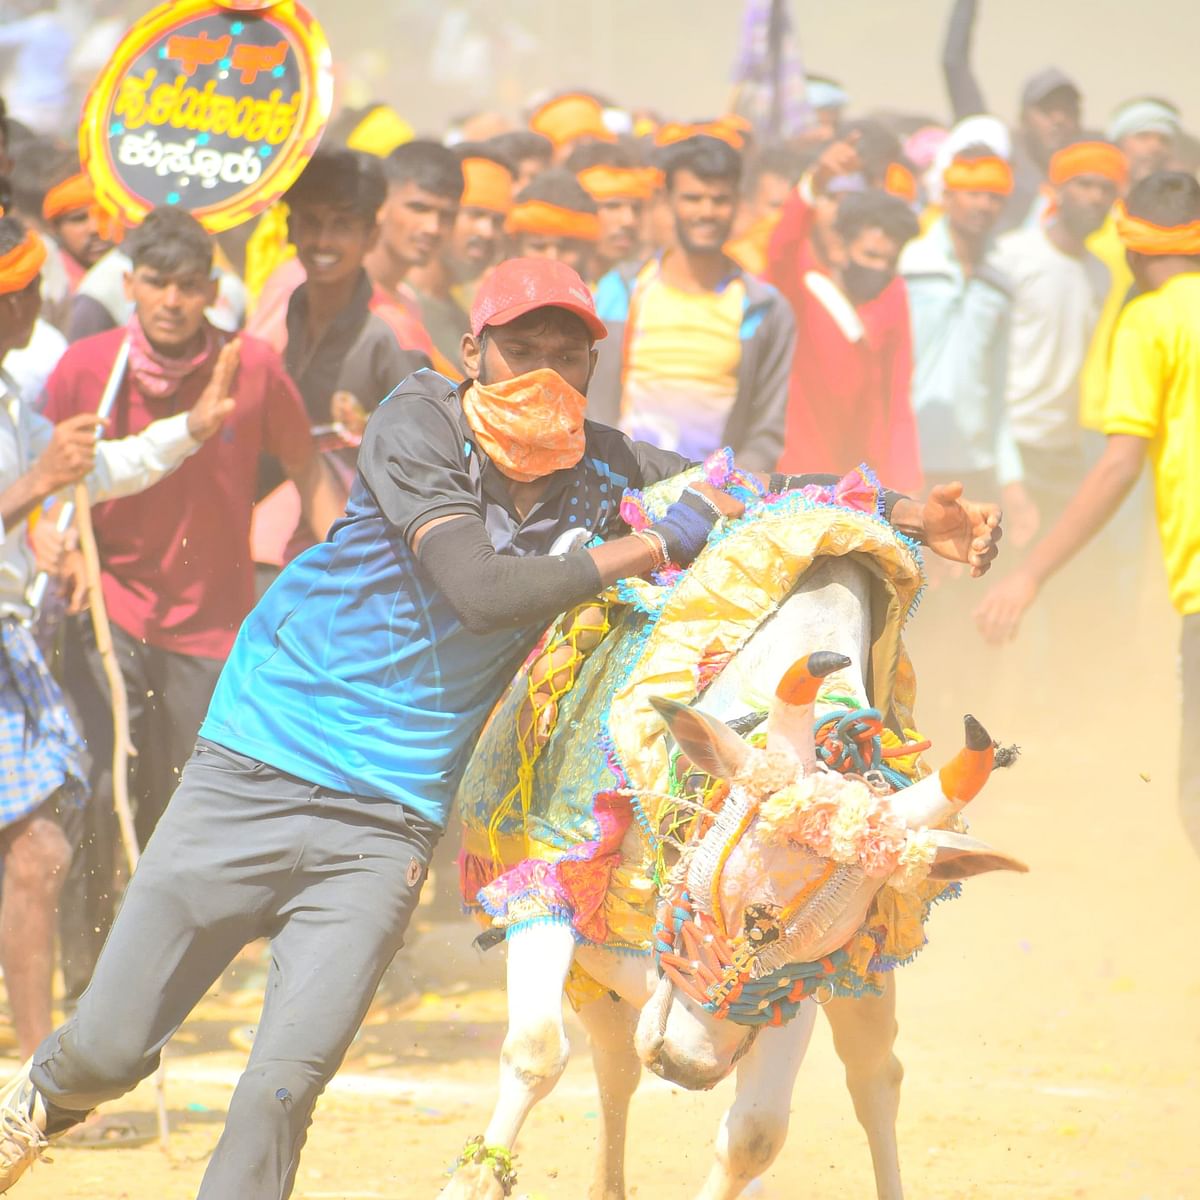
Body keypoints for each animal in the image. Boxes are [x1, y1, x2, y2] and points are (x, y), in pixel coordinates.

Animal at [439, 559, 1022, 1200]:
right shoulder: (545, 889)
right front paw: (473, 1178)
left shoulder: (798, 988)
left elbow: (754, 1135)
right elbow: (539, 1051)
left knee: (875, 1078)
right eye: (707, 885)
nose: (687, 1066)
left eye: (829, 937)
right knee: (615, 1062)